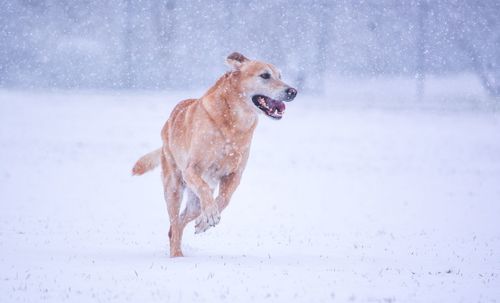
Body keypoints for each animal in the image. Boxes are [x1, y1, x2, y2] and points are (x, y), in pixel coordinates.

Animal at [132, 53, 296, 258]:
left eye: (280, 76)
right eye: (265, 75)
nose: (293, 91)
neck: (234, 124)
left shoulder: (235, 175)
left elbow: (224, 199)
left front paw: (205, 220)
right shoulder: (191, 170)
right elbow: (204, 189)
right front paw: (209, 214)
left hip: (194, 203)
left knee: (180, 222)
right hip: (173, 188)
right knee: (175, 222)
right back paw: (176, 255)